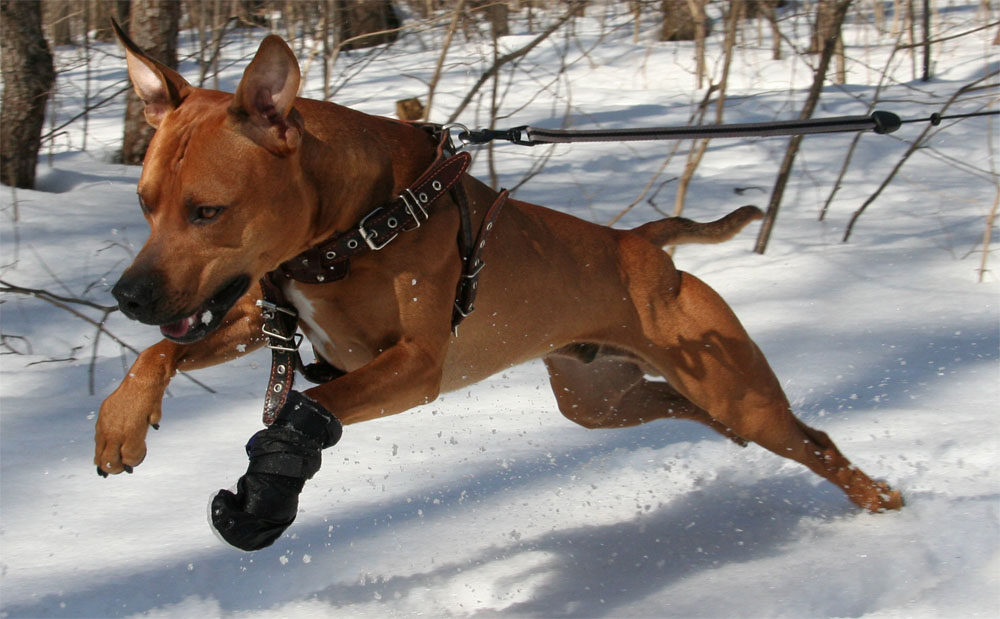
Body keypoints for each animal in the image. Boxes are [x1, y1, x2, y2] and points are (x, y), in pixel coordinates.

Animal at [97, 26, 904, 548]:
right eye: (143, 202)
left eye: (208, 211)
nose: (128, 297)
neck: (353, 226)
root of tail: (645, 245)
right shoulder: (258, 319)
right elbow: (158, 355)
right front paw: (120, 423)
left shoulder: (411, 365)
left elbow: (301, 409)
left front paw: (272, 480)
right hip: (602, 400)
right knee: (690, 408)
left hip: (736, 389)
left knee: (812, 440)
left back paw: (880, 499)